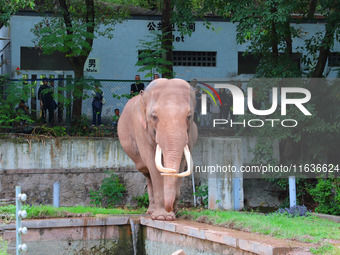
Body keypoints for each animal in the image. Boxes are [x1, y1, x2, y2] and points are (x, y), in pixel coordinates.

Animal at [117, 78, 198, 220]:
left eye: (189, 117)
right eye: (154, 117)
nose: (170, 208)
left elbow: (181, 164)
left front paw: (172, 214)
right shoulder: (141, 130)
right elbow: (153, 164)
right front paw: (162, 217)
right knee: (147, 173)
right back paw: (151, 212)